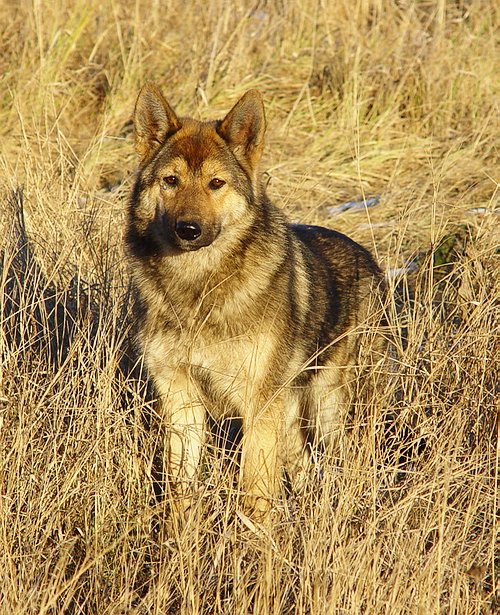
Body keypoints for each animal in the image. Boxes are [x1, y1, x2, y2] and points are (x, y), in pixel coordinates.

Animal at [126, 84, 386, 524]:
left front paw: (254, 540)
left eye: (216, 183)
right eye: (171, 181)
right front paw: (178, 539)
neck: (198, 286)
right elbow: (181, 488)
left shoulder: (257, 404)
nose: (187, 229)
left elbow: (255, 491)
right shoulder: (181, 402)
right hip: (291, 416)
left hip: (329, 411)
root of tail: (369, 260)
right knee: (303, 467)